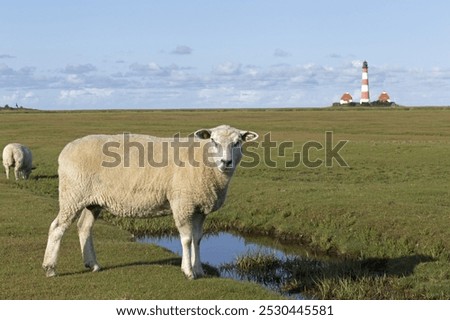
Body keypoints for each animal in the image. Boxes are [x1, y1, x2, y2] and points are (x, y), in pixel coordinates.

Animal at [44, 125, 260, 280]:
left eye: (237, 142)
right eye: (213, 141)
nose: (226, 162)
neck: (204, 163)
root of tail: (66, 149)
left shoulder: (199, 208)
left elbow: (198, 239)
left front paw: (199, 269)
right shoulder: (182, 203)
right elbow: (187, 239)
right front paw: (188, 271)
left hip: (92, 200)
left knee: (84, 227)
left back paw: (93, 264)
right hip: (73, 193)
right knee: (57, 227)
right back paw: (50, 268)